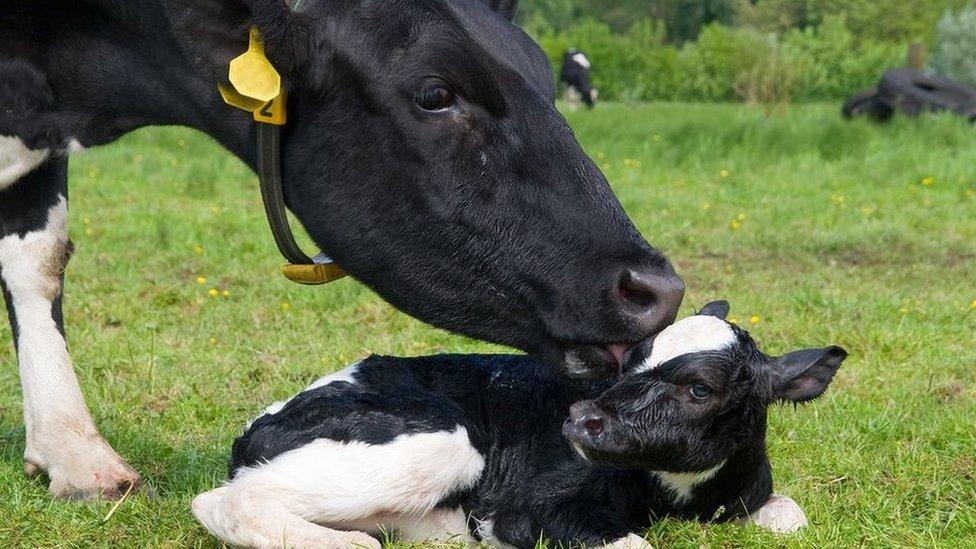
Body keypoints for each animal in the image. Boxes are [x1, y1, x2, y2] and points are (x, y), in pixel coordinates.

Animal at [193, 302, 848, 544]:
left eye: (699, 389)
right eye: (632, 359)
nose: (581, 418)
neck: (676, 497)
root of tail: (256, 426)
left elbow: (792, 517)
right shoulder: (529, 512)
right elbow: (633, 542)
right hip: (444, 444)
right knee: (222, 500)